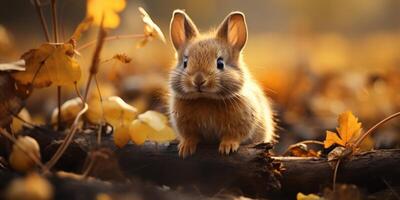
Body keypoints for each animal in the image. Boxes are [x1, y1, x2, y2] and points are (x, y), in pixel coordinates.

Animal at [167, 9, 276, 158]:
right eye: (185, 63)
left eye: (220, 63)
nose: (199, 80)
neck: (206, 99)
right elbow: (190, 136)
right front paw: (185, 148)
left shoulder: (239, 124)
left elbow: (233, 136)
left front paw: (227, 147)